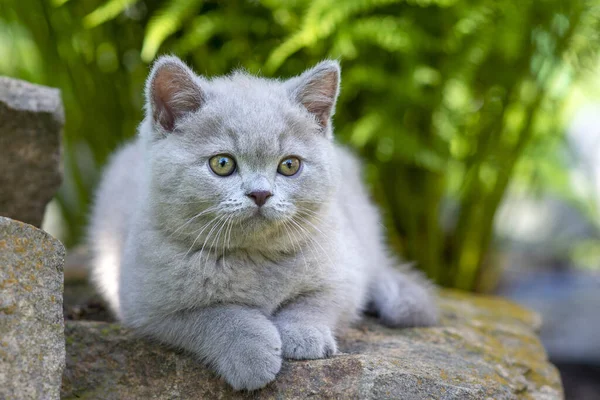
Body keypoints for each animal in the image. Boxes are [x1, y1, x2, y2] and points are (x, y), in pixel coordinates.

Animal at [88, 55, 436, 390]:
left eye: (290, 165)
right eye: (222, 163)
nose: (260, 193)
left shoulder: (343, 270)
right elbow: (216, 315)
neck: (255, 258)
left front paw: (304, 336)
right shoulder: (148, 305)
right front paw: (251, 355)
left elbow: (316, 301)